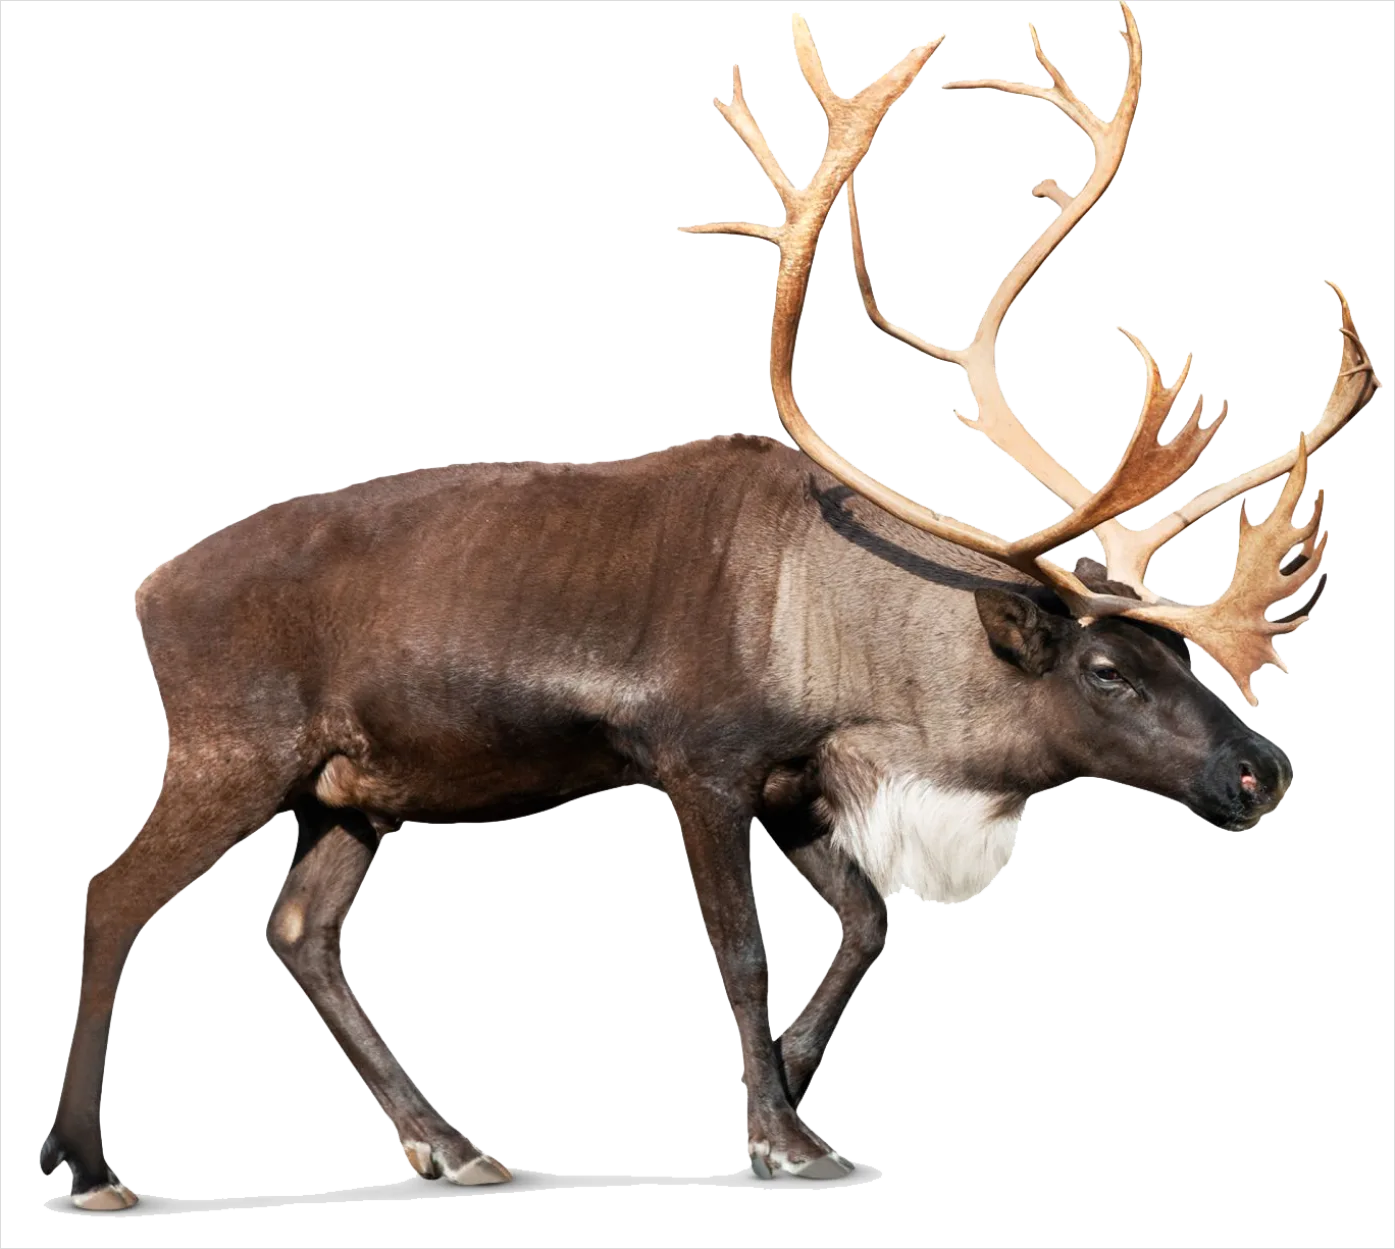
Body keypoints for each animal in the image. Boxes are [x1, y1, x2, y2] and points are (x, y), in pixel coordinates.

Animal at [40, 6, 1378, 1209]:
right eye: (1105, 668)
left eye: (1176, 653)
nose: (1263, 771)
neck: (858, 668)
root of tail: (146, 589)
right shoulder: (697, 760)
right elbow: (741, 949)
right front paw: (782, 1136)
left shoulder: (795, 781)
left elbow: (868, 923)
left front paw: (788, 1092)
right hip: (234, 745)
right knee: (113, 893)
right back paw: (91, 1162)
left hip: (352, 787)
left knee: (299, 929)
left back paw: (454, 1145)